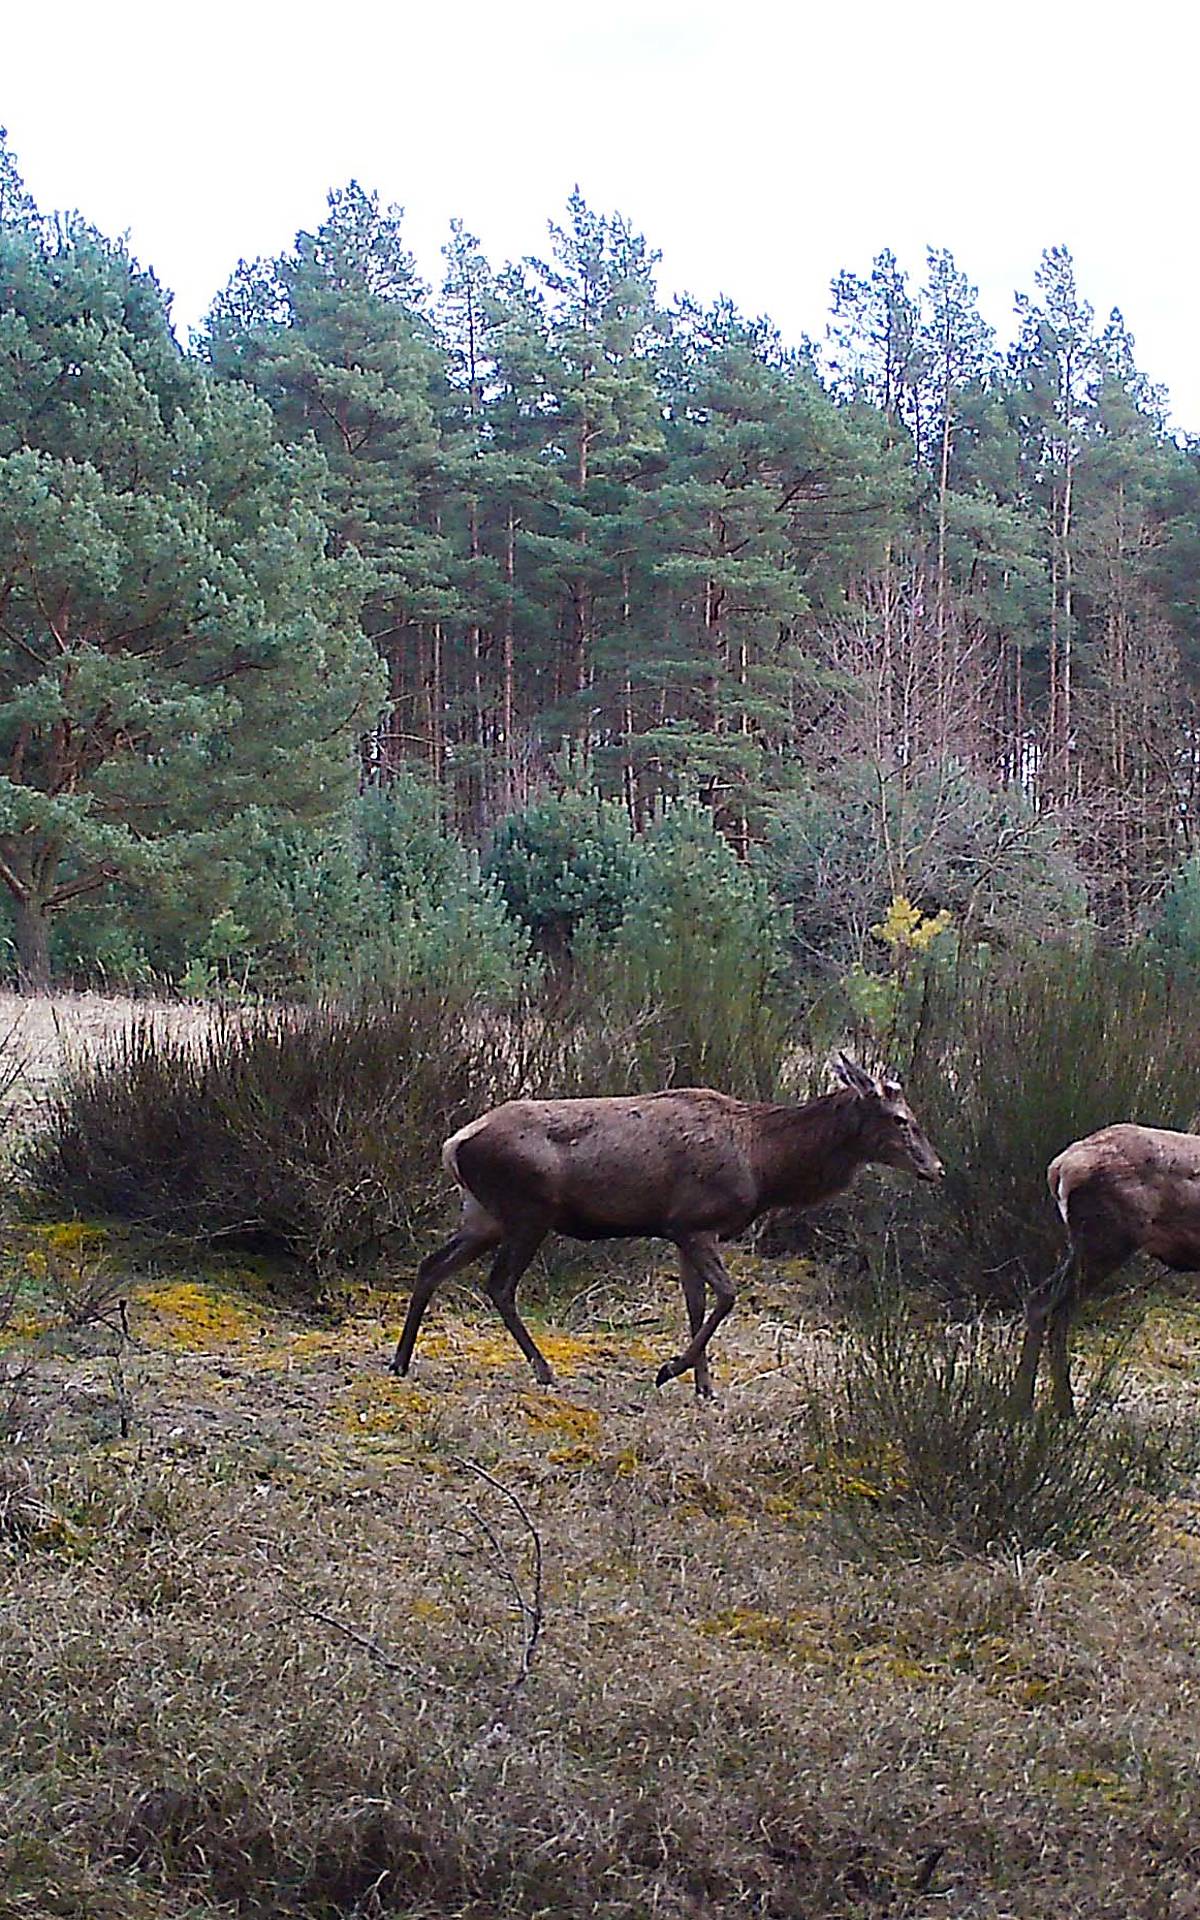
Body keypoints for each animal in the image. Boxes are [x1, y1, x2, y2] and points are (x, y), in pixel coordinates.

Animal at [387, 1052, 940, 1397]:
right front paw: (670, 1369)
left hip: (485, 1215)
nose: (936, 1167)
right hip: (527, 1211)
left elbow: (696, 1304)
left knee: (432, 1266)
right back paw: (543, 1369)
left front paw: (703, 1385)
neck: (764, 1165)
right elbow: (726, 1296)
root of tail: (454, 1144)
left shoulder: (680, 1231)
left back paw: (400, 1360)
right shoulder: (696, 1223)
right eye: (900, 1119)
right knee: (499, 1284)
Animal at [1013, 1121, 1200, 1420]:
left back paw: (1058, 1407)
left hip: (1088, 1245)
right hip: (1106, 1241)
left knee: (1051, 1307)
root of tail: (1059, 1167)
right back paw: (1025, 1407)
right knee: (1046, 1303)